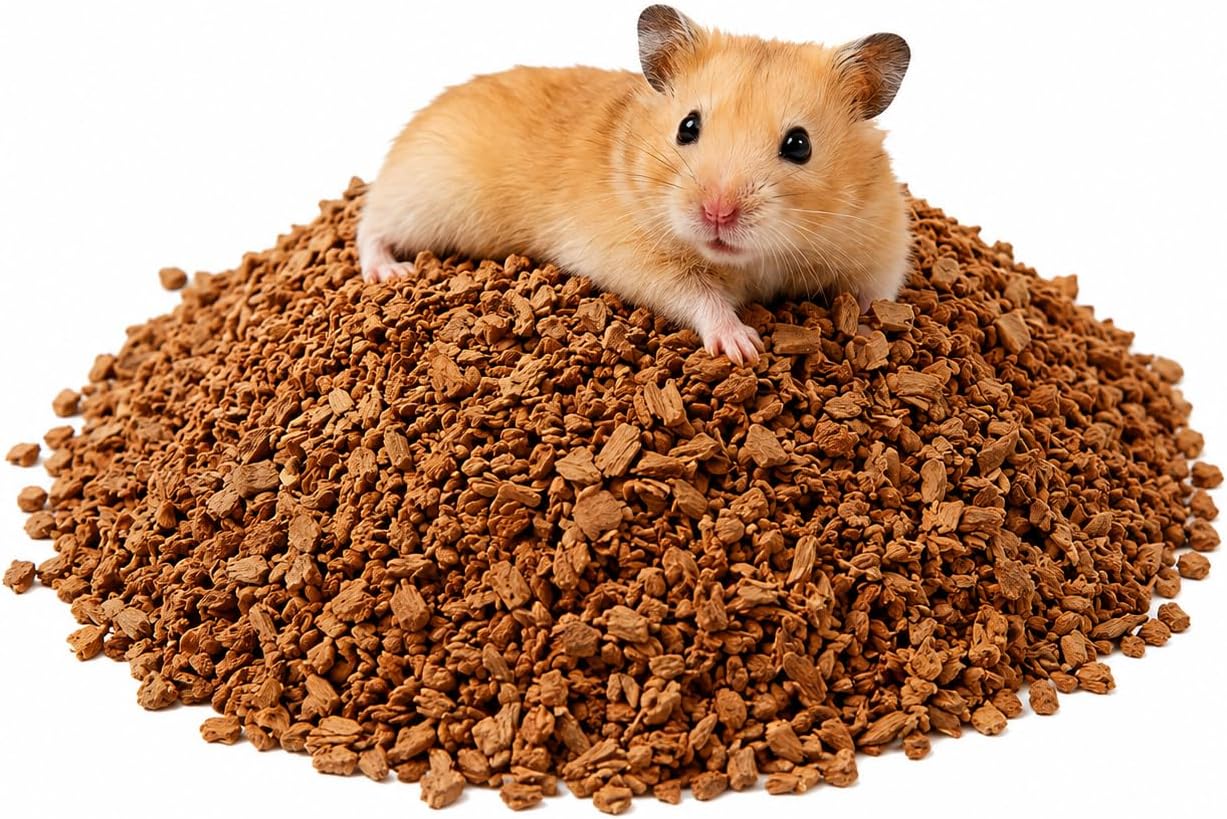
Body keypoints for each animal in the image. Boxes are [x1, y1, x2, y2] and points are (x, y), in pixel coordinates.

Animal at [358, 5, 911, 365]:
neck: (757, 259)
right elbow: (700, 298)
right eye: (687, 127)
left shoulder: (881, 242)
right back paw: (390, 272)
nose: (716, 213)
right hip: (423, 197)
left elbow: (874, 293)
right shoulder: (640, 261)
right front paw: (744, 348)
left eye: (799, 145)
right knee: (369, 227)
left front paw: (873, 327)